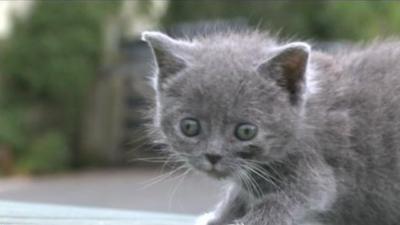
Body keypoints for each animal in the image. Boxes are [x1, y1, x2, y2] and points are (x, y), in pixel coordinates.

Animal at [142, 30, 400, 225]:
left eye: (246, 131)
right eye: (189, 127)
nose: (213, 155)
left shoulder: (317, 171)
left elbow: (285, 200)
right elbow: (237, 197)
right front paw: (218, 218)